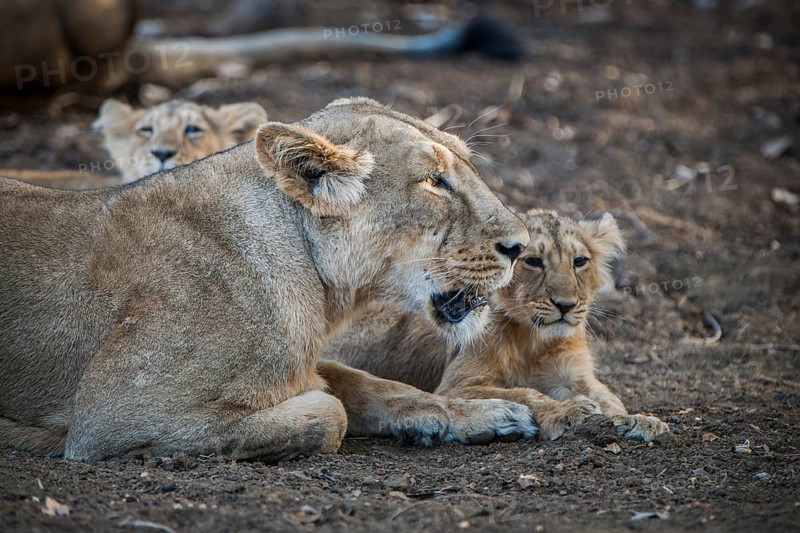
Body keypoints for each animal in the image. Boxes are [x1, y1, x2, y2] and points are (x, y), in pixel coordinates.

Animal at [0, 97, 536, 462]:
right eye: (433, 181)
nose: (521, 245)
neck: (319, 286)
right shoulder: (113, 415)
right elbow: (330, 409)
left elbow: (368, 382)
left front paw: (482, 413)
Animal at [328, 209, 670, 442]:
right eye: (533, 261)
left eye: (580, 261)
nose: (565, 305)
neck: (532, 339)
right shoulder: (459, 385)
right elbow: (522, 393)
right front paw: (566, 411)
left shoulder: (573, 373)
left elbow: (608, 397)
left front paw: (637, 420)